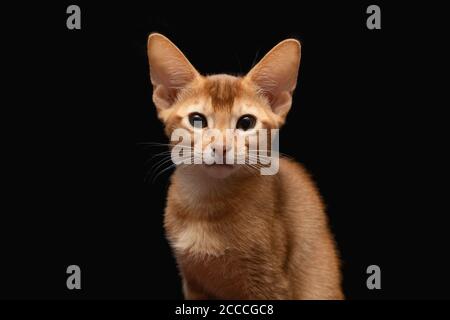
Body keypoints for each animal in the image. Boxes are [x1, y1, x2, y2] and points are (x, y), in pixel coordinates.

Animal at [146, 33, 342, 300]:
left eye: (246, 122)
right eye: (197, 120)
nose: (221, 147)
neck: (207, 207)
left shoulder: (270, 282)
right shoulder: (194, 282)